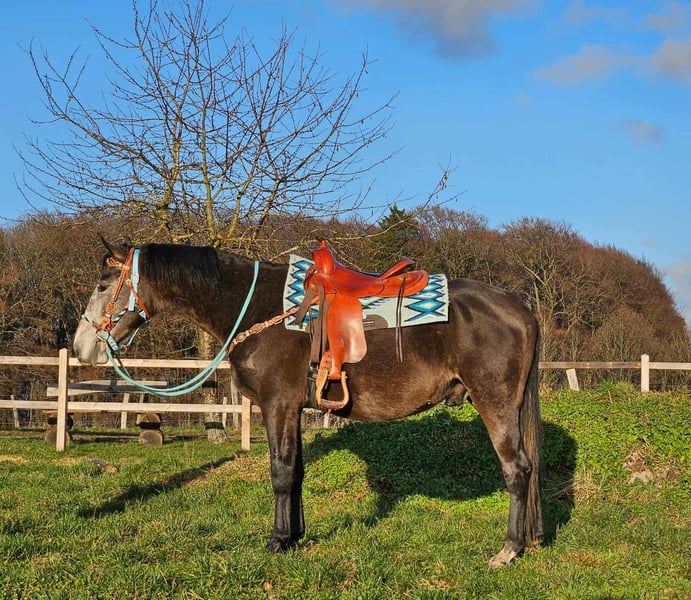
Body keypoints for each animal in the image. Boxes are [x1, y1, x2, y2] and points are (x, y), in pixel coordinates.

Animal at [73, 236, 543, 568]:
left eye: (102, 285)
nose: (81, 348)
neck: (254, 307)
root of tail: (519, 306)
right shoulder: (294, 410)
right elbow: (297, 470)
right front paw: (296, 535)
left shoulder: (276, 404)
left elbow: (281, 474)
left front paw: (278, 541)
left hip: (495, 403)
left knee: (517, 470)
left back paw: (509, 549)